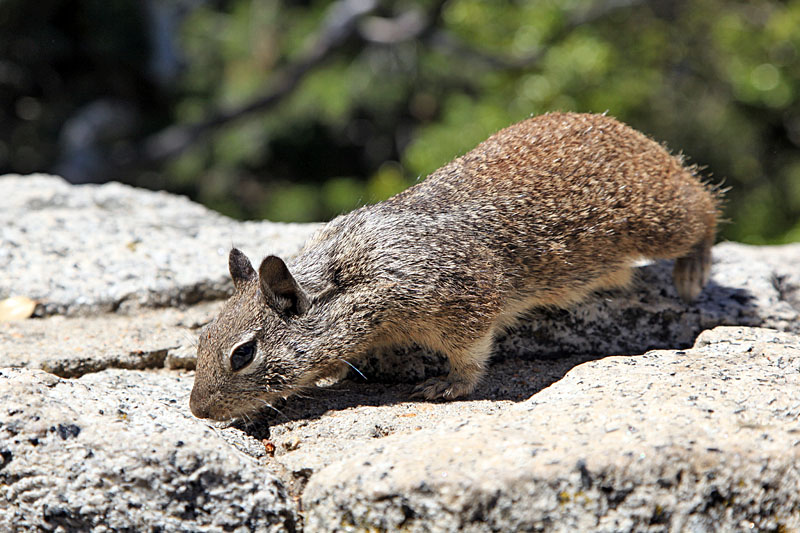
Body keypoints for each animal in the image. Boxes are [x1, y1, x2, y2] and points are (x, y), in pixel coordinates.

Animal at [191, 111, 720, 420]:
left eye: (243, 354)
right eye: (201, 338)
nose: (197, 410)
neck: (351, 277)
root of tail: (633, 134)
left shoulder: (465, 302)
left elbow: (470, 356)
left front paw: (446, 386)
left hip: (659, 218)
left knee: (704, 204)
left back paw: (692, 274)